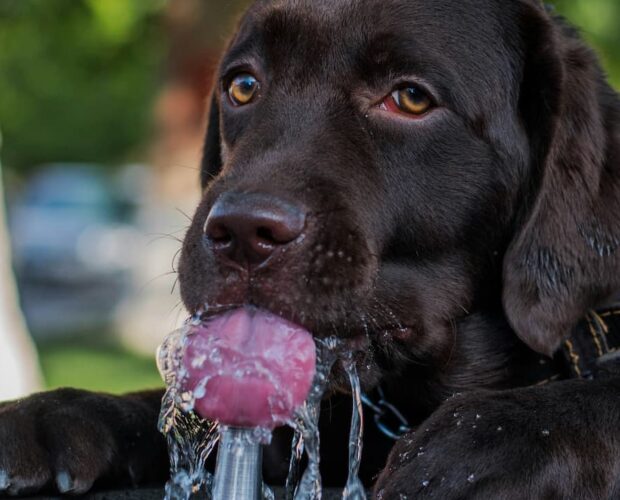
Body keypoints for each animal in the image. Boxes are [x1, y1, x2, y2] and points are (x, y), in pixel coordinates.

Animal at [1, 0, 620, 498]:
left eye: (411, 98)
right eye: (243, 86)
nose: (242, 231)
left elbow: (593, 400)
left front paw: (475, 445)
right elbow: (171, 406)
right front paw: (57, 414)